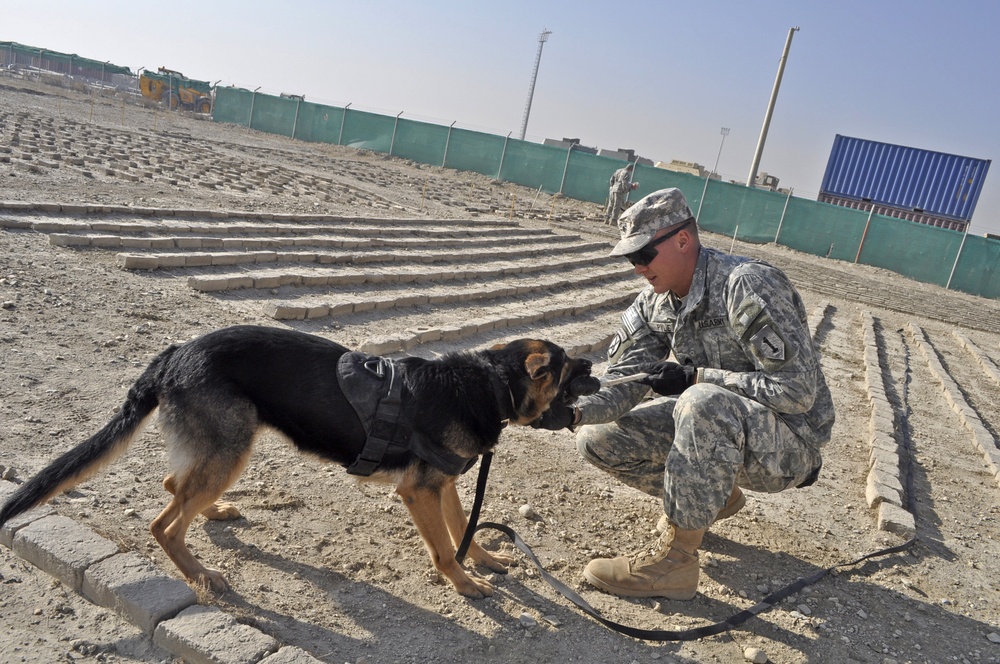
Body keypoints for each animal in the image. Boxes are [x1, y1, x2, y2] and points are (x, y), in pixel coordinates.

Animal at [0, 324, 592, 600]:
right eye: (568, 367)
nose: (597, 363)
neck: (488, 385)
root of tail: (174, 353)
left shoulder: (442, 484)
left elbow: (462, 524)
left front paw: (486, 559)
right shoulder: (419, 491)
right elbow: (446, 547)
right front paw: (466, 585)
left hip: (223, 453)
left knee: (175, 484)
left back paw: (213, 515)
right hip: (232, 451)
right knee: (163, 523)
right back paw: (202, 574)